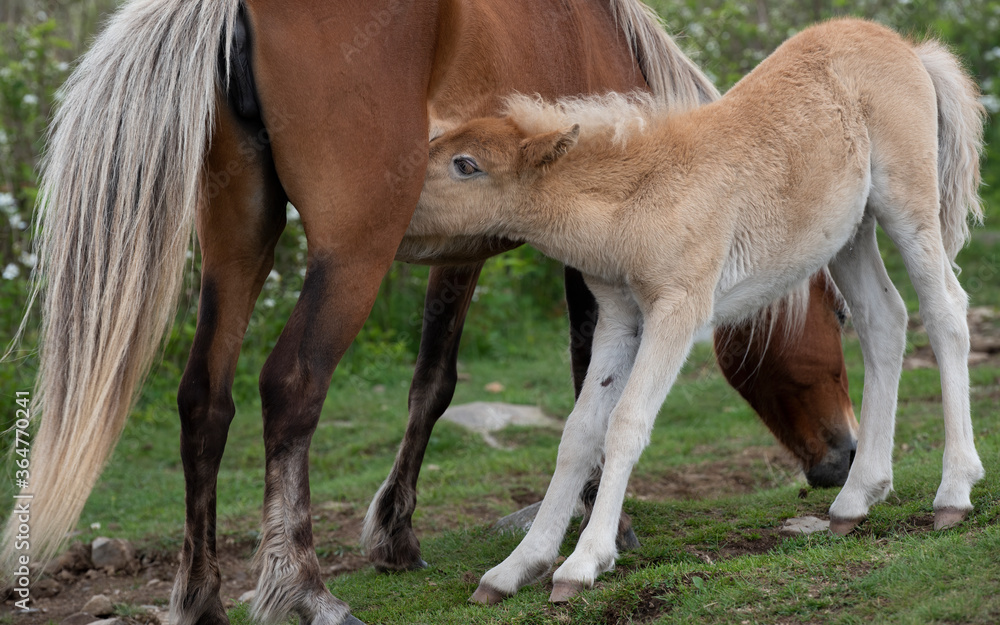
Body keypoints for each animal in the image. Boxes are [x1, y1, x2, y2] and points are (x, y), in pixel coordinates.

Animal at [2, 1, 854, 623]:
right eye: (838, 321)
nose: (843, 453)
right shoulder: (579, 253)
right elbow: (578, 368)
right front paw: (593, 518)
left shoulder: (465, 245)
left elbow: (432, 383)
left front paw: (397, 533)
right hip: (353, 251)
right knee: (291, 387)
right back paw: (303, 587)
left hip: (238, 239)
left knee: (204, 399)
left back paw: (200, 594)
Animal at [411, 18, 986, 604]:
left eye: (466, 165)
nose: (401, 198)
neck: (637, 193)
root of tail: (908, 47)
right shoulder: (620, 319)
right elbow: (578, 433)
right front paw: (516, 566)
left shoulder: (677, 310)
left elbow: (626, 423)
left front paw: (584, 562)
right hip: (849, 232)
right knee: (884, 320)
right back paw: (856, 498)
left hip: (907, 203)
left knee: (946, 312)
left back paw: (953, 492)